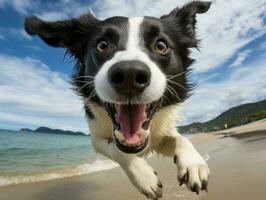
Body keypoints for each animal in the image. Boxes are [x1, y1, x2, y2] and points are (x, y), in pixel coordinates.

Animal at [25, 1, 212, 198]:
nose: (129, 74)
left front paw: (194, 164)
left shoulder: (162, 133)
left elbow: (181, 138)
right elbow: (116, 150)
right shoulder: (96, 137)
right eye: (102, 45)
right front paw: (144, 177)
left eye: (161, 45)